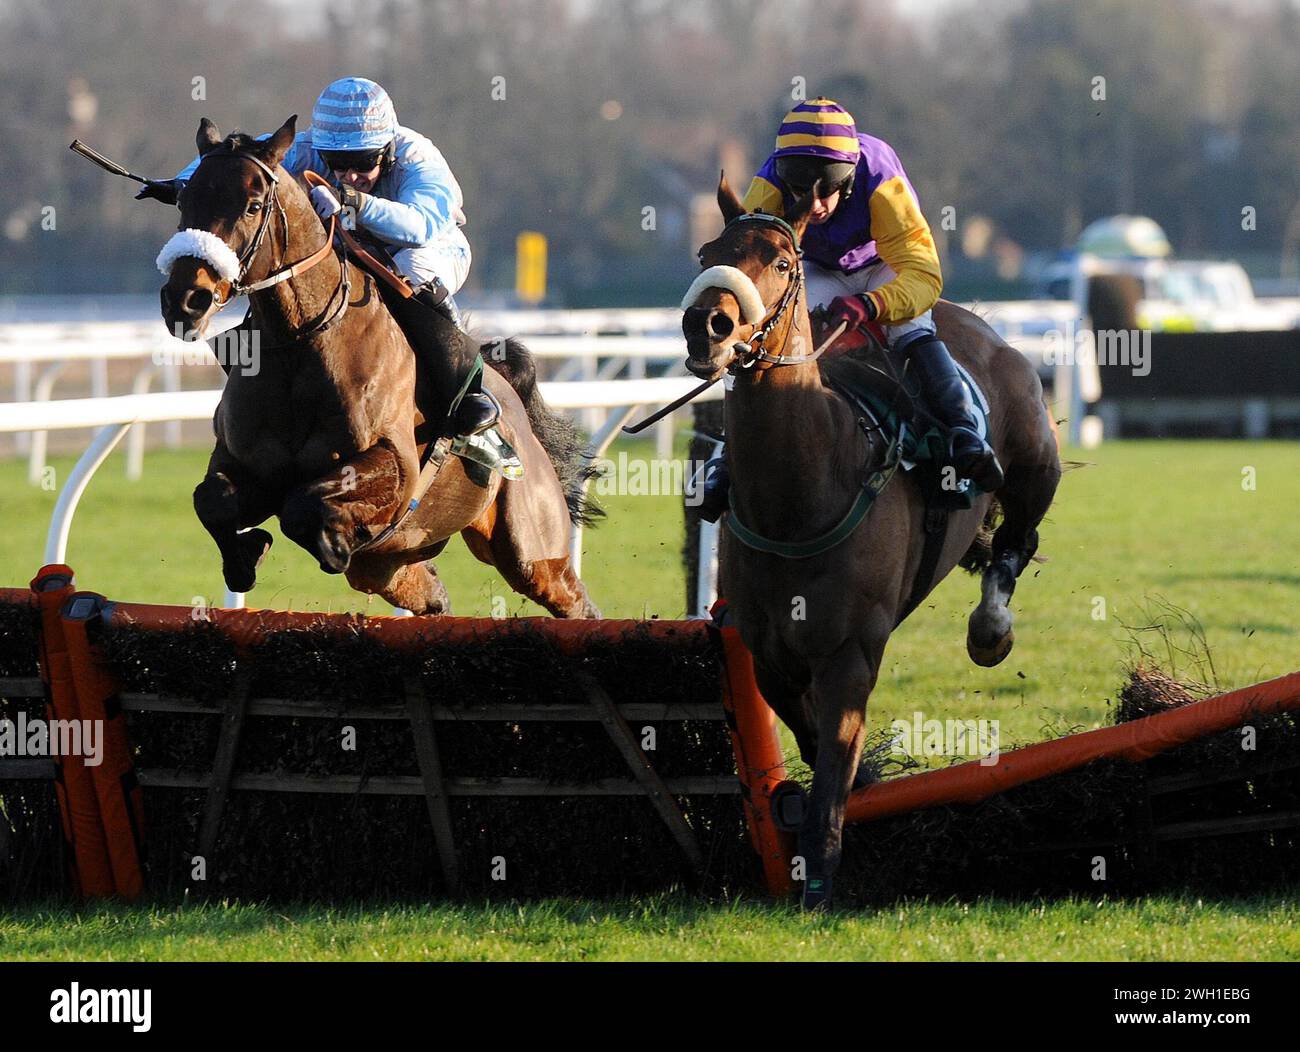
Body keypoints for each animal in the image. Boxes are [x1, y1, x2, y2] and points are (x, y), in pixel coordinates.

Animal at [157, 117, 598, 616]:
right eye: (184, 200)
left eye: (252, 206)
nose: (185, 300)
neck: (301, 346)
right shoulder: (239, 461)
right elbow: (211, 500)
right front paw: (246, 555)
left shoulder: (397, 462)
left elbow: (302, 504)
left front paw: (330, 543)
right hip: (391, 563)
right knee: (428, 593)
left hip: (531, 546)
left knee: (572, 600)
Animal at [681, 176, 1055, 905]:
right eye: (709, 253)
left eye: (781, 263)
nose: (707, 324)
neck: (800, 494)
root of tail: (978, 324)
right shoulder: (766, 650)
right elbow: (806, 734)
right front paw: (843, 793)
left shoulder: (851, 650)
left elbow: (833, 757)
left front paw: (821, 875)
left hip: (1034, 464)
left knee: (1017, 541)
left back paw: (991, 626)